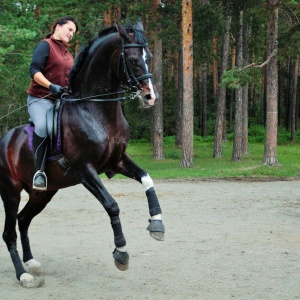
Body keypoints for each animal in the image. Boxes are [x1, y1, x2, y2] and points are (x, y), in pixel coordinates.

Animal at [0, 19, 164, 288]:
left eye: (148, 57)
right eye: (131, 60)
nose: (150, 96)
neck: (95, 110)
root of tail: (4, 140)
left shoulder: (117, 161)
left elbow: (147, 179)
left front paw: (157, 224)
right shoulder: (83, 169)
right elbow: (112, 205)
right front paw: (121, 253)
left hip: (42, 194)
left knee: (23, 220)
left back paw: (31, 263)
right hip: (11, 193)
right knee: (9, 232)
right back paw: (23, 274)